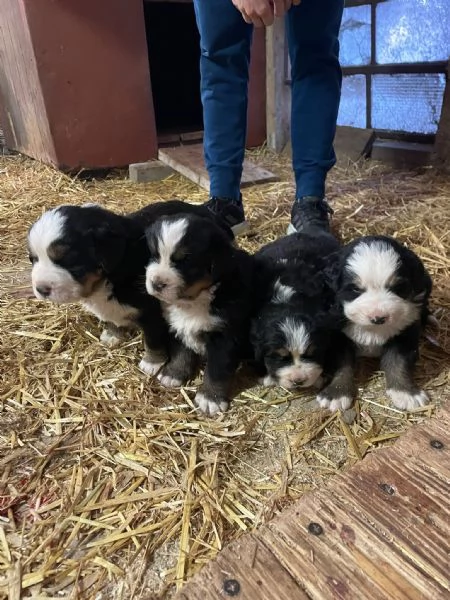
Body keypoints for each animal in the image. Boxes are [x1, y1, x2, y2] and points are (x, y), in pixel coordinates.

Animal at [28, 199, 232, 372]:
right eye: (33, 259)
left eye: (67, 260)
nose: (41, 289)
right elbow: (111, 319)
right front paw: (113, 335)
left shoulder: (150, 311)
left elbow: (152, 339)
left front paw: (151, 363)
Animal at [145, 213, 255, 414]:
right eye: (154, 255)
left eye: (184, 262)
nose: (156, 283)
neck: (193, 301)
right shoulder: (176, 325)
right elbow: (181, 353)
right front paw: (173, 374)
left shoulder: (224, 337)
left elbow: (216, 370)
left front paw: (210, 399)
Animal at [320, 234, 432, 412]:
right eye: (355, 289)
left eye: (397, 287)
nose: (378, 317)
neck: (373, 329)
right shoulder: (338, 335)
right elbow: (342, 364)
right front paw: (336, 393)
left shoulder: (405, 332)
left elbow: (398, 362)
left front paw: (406, 393)